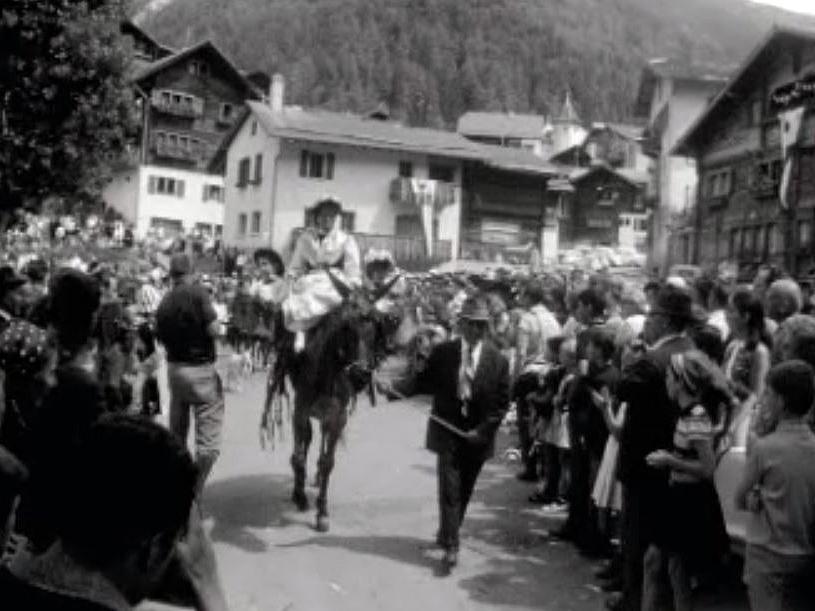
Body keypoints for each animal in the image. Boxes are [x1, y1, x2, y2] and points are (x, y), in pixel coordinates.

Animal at [262, 270, 402, 532]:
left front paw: (322, 511)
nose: (360, 374)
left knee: (320, 443)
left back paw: (316, 477)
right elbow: (298, 456)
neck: (328, 368)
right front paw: (300, 496)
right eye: (345, 325)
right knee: (305, 442)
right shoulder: (301, 410)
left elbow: (328, 462)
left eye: (376, 325)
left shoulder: (338, 417)